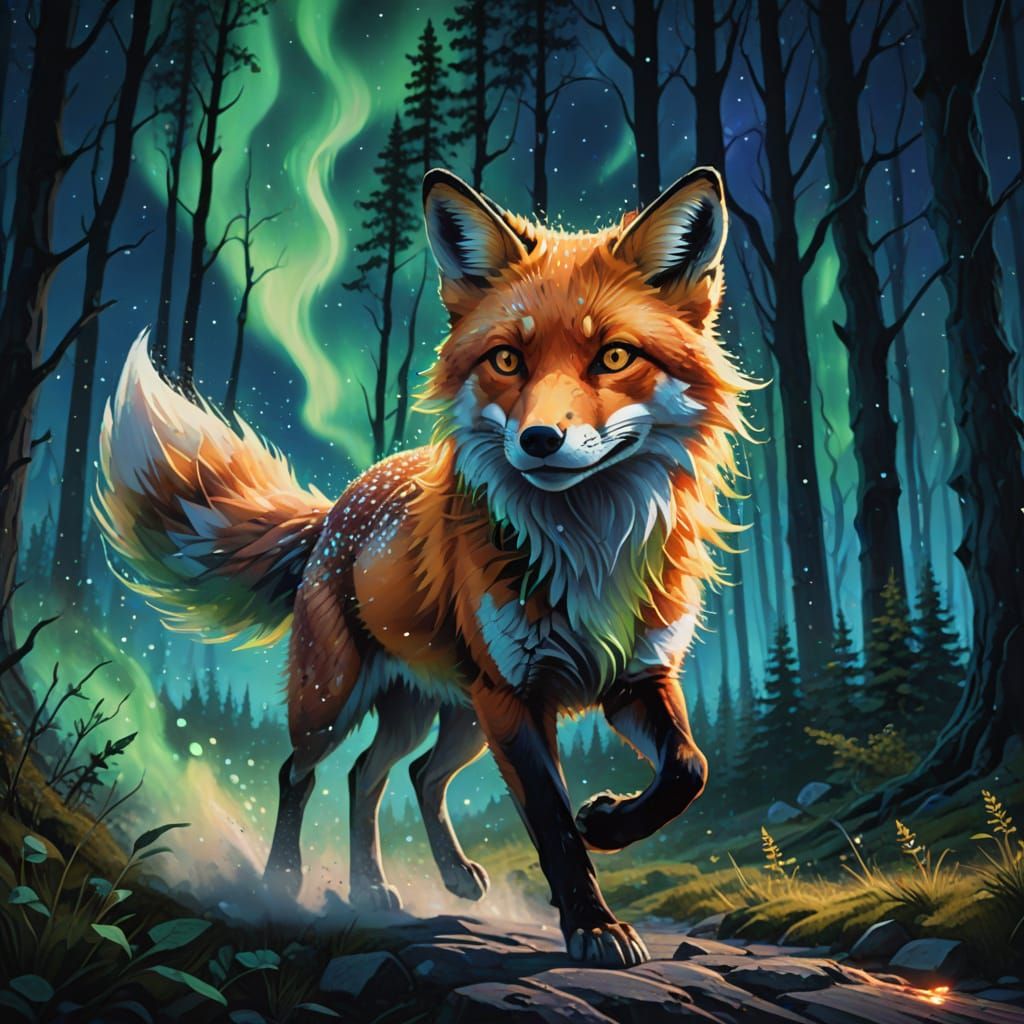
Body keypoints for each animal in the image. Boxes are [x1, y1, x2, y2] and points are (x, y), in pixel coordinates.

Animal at [94, 165, 751, 967]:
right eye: (507, 360)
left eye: (615, 357)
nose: (538, 440)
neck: (587, 552)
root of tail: (337, 507)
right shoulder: (516, 697)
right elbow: (553, 823)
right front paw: (593, 923)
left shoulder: (635, 678)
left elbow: (689, 770)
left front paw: (610, 822)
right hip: (341, 698)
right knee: (304, 771)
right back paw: (287, 881)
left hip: (453, 717)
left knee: (389, 775)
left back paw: (404, 882)